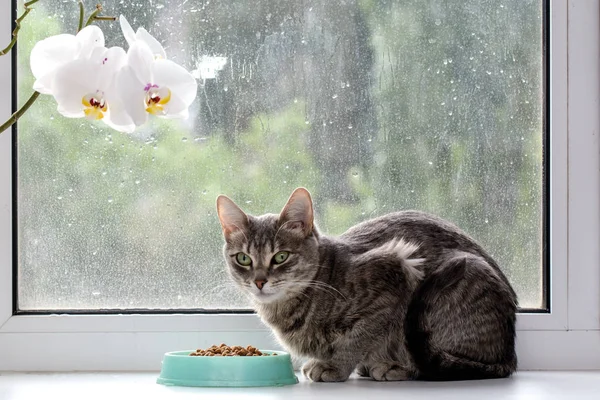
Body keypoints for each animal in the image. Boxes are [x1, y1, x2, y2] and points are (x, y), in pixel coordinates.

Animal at [216, 188, 516, 382]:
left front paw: (335, 367)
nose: (259, 281)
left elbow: (358, 336)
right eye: (243, 258)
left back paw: (394, 367)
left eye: (280, 256)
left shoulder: (396, 272)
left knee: (431, 363)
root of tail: (508, 356)